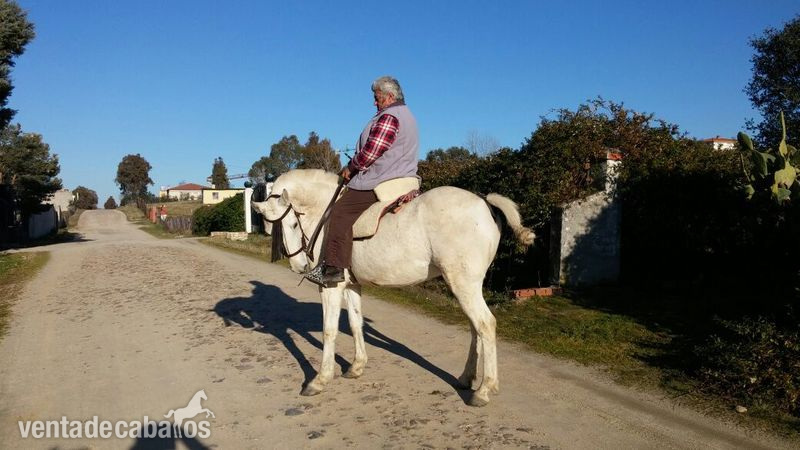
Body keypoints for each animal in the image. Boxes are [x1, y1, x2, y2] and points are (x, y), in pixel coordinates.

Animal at [251, 169, 535, 406]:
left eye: (293, 223)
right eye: (270, 225)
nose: (298, 265)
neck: (326, 212)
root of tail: (484, 202)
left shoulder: (331, 287)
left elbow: (329, 330)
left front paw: (320, 379)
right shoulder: (350, 285)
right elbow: (355, 323)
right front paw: (356, 367)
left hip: (464, 283)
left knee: (485, 324)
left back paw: (484, 389)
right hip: (465, 285)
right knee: (475, 327)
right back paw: (467, 378)